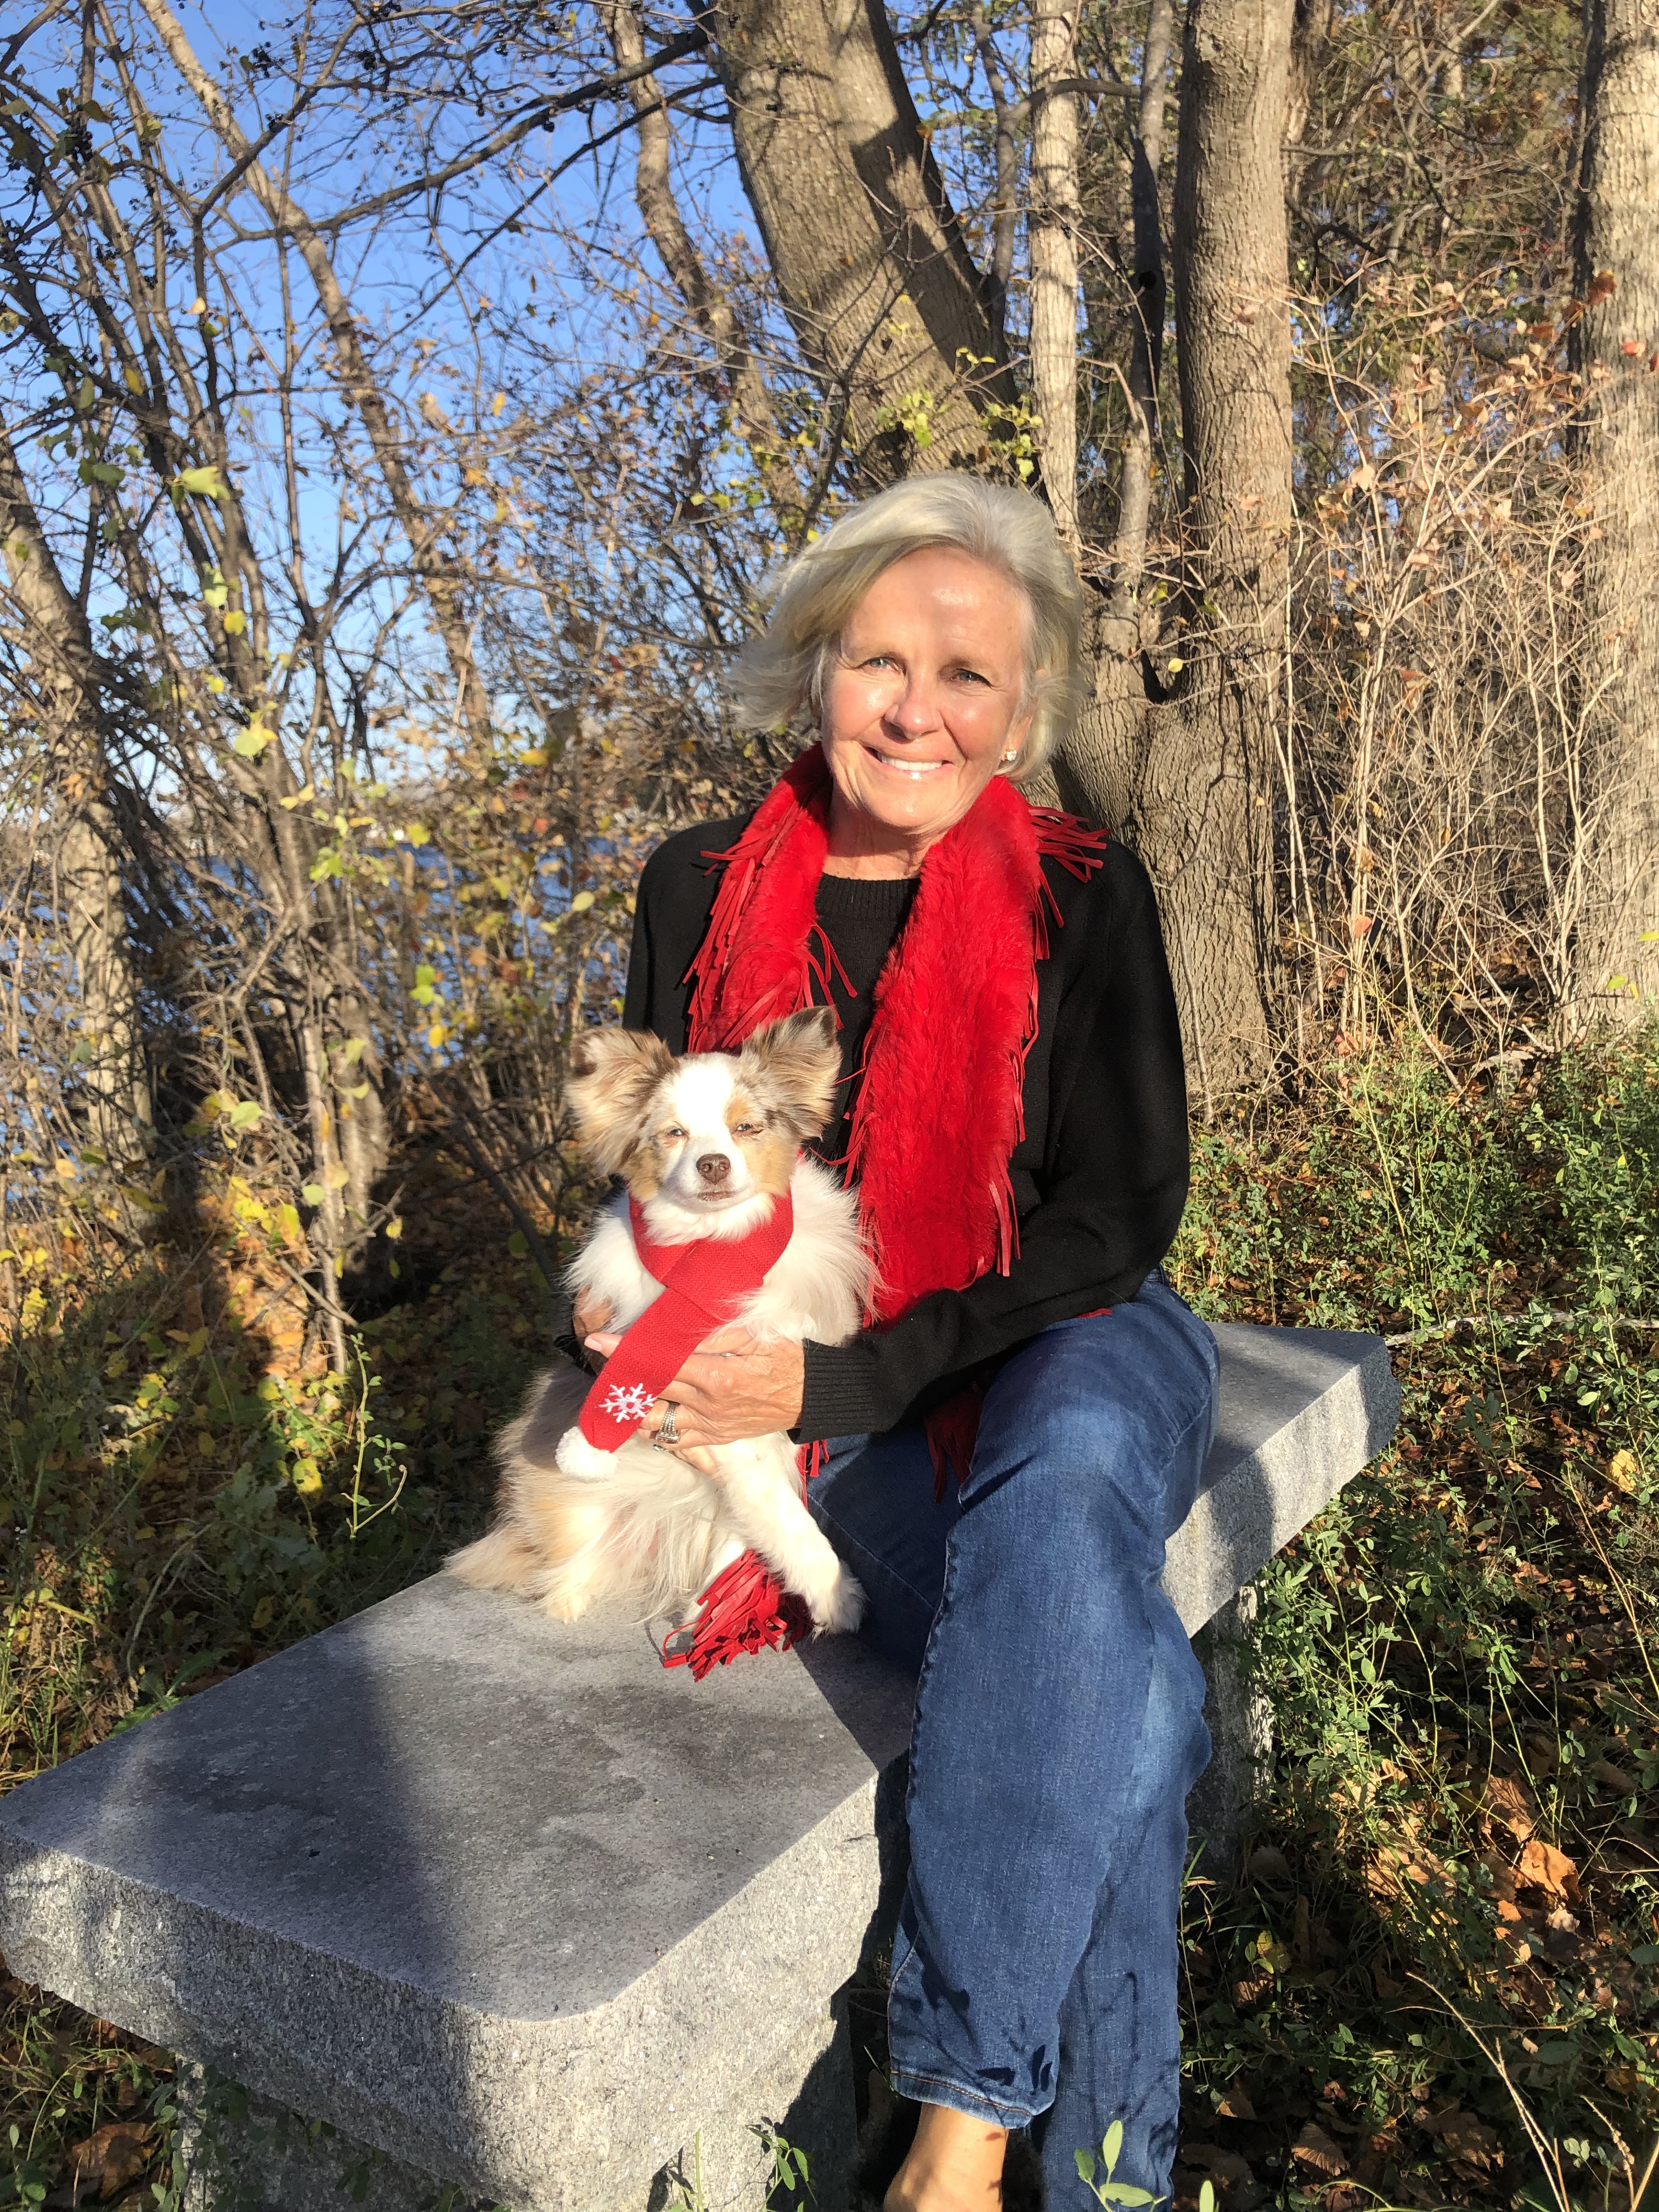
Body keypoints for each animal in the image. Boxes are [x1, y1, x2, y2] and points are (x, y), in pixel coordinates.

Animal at [448, 1008, 870, 1637]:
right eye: (674, 1134)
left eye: (746, 1129)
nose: (713, 1164)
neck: (716, 1247)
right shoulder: (722, 1418)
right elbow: (786, 1517)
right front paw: (835, 1594)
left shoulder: (765, 1398)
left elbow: (746, 1521)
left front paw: (714, 1602)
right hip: (569, 1506)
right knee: (561, 1562)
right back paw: (569, 1599)